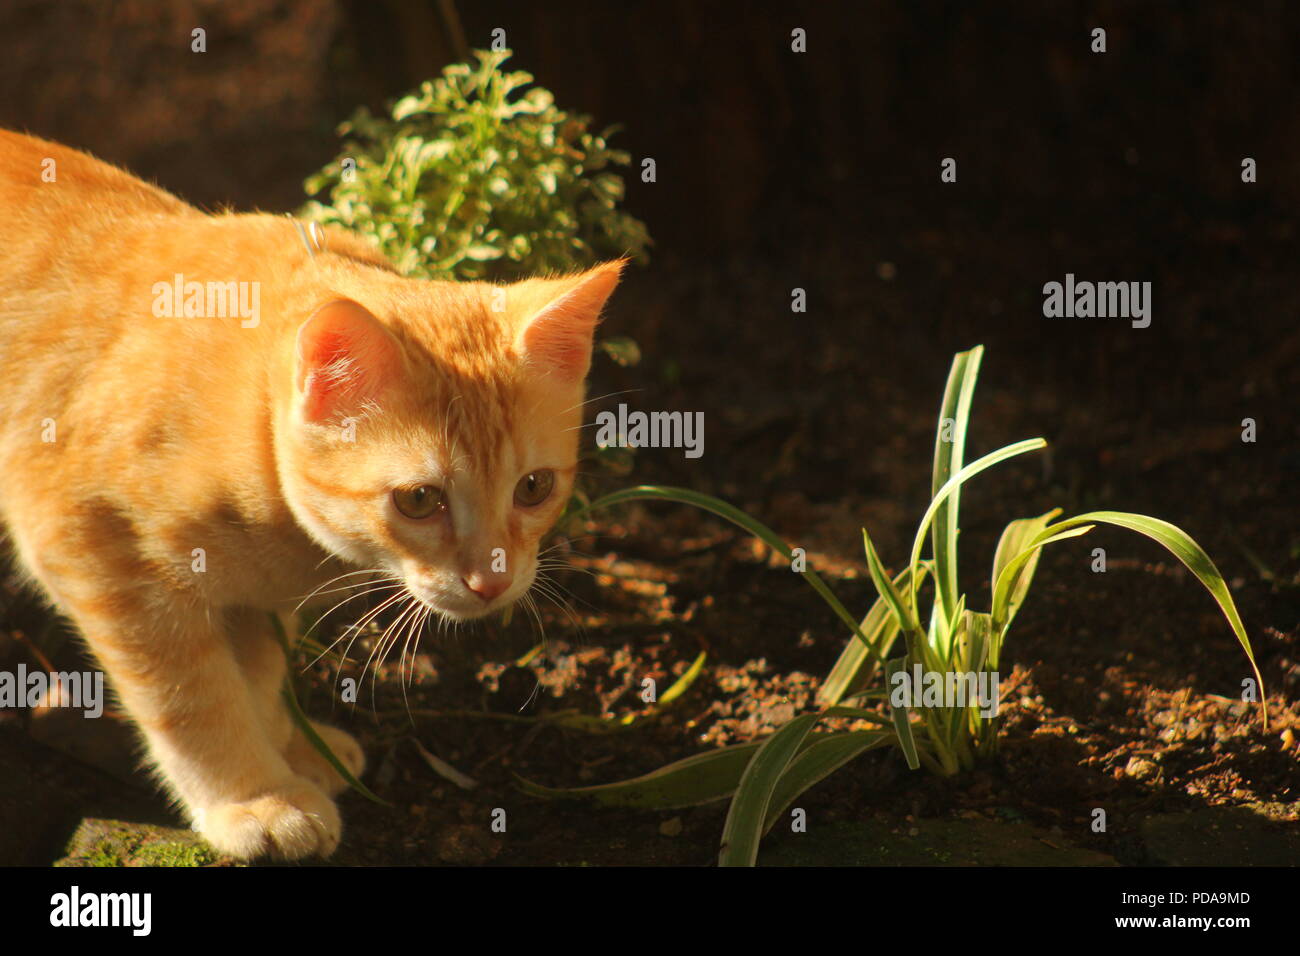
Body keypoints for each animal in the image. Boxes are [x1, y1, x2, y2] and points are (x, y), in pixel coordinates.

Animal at [0, 128, 624, 858]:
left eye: (534, 488)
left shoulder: (254, 601)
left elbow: (256, 674)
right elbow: (192, 696)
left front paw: (289, 749)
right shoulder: (90, 548)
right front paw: (253, 797)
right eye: (419, 500)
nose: (492, 582)